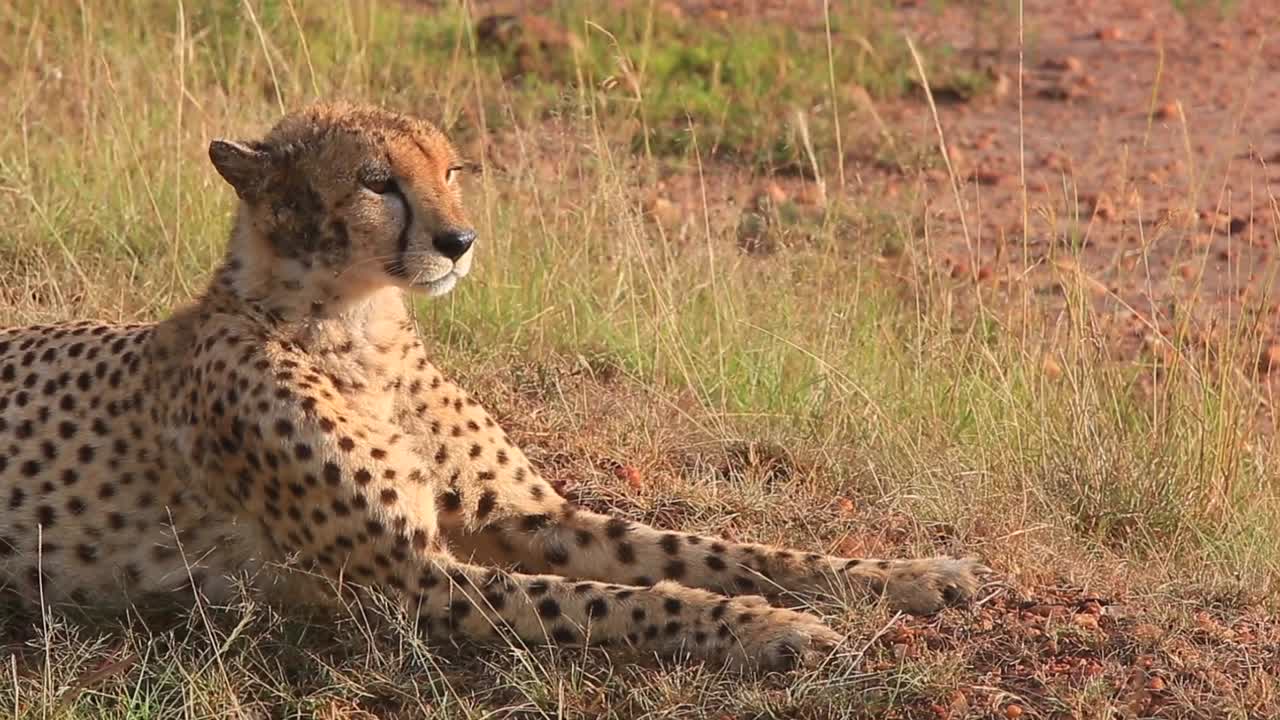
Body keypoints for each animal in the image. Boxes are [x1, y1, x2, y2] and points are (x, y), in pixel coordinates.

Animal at [0, 102, 988, 672]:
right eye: (376, 181)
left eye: (451, 170)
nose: (460, 240)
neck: (356, 328)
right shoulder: (407, 582)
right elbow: (622, 598)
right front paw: (764, 629)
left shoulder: (525, 515)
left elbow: (702, 548)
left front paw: (905, 574)